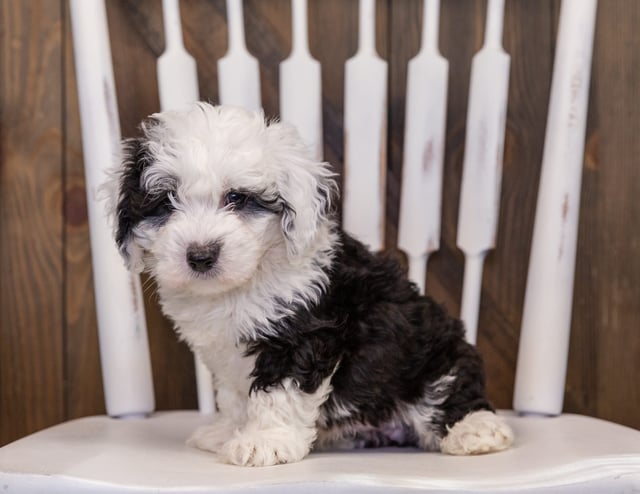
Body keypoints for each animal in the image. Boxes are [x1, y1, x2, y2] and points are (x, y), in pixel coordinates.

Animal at [107, 102, 512, 466]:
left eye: (237, 198)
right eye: (164, 203)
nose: (201, 255)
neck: (245, 280)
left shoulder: (303, 333)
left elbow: (278, 392)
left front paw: (265, 442)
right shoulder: (226, 354)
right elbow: (235, 396)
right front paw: (229, 432)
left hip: (435, 355)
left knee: (453, 389)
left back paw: (475, 431)